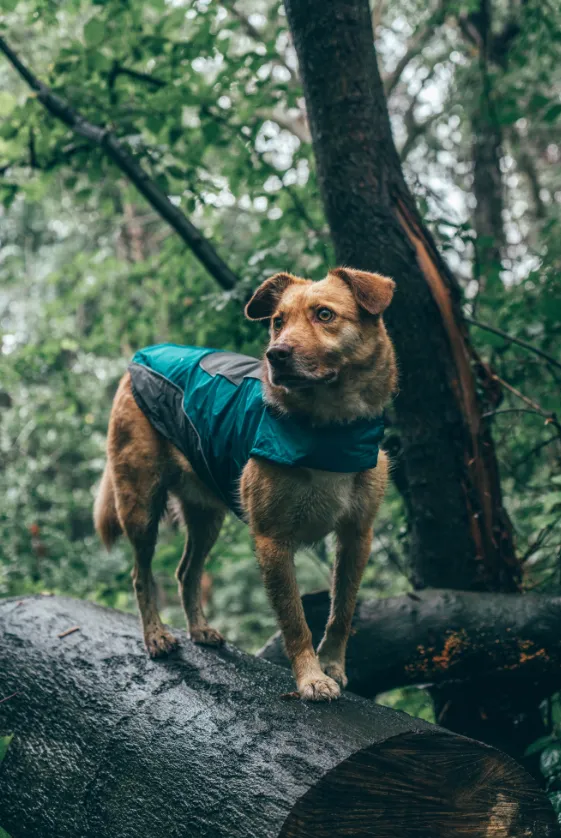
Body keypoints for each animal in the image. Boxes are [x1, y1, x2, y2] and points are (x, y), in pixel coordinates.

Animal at [94, 270, 396, 704]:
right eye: (278, 322)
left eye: (324, 314)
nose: (276, 354)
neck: (329, 433)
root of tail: (139, 358)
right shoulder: (273, 540)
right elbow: (295, 619)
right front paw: (310, 678)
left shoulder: (357, 535)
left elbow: (342, 610)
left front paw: (334, 666)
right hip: (140, 504)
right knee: (141, 574)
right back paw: (155, 636)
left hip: (207, 517)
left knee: (186, 573)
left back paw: (199, 629)